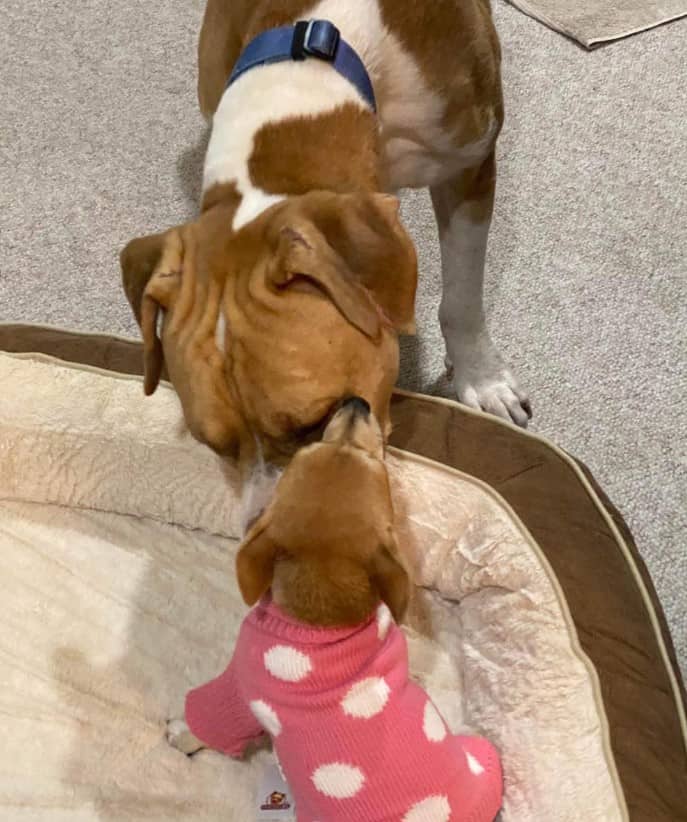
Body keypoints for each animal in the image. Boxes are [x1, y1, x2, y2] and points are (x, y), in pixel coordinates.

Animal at [167, 398, 502, 816]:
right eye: (314, 449)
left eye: (370, 460)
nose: (356, 401)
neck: (325, 617)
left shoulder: (240, 687)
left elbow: (213, 720)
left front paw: (181, 733)